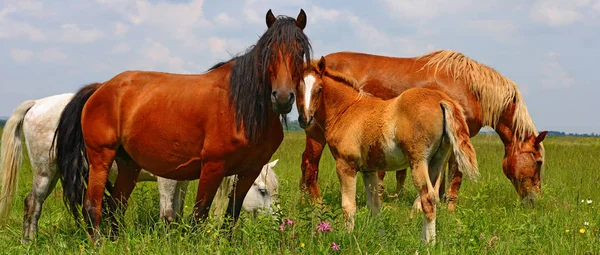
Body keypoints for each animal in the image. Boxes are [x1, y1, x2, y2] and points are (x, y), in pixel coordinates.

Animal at [0, 93, 190, 243]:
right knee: (34, 203)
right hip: (45, 172)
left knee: (31, 201)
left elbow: (178, 211)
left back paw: (28, 241)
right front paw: (167, 242)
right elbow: (168, 214)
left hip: (54, 174)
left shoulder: (182, 181)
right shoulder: (166, 178)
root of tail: (37, 103)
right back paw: (31, 241)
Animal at [52, 8, 312, 243]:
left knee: (116, 205)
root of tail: (100, 88)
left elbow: (232, 214)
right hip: (101, 159)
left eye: (300, 52)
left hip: (128, 165)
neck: (242, 108)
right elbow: (199, 215)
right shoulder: (212, 167)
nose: (282, 98)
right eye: (269, 52)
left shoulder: (250, 170)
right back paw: (98, 243)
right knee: (92, 205)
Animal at [298, 57, 480, 243]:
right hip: (437, 162)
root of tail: (441, 99)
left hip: (418, 162)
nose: (304, 119)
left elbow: (348, 206)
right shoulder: (369, 170)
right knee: (432, 198)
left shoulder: (346, 165)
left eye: (319, 89)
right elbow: (374, 206)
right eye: (298, 87)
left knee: (427, 198)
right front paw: (381, 239)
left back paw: (428, 244)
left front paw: (348, 238)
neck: (347, 110)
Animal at [300, 49, 548, 209]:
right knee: (310, 164)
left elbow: (441, 177)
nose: (535, 200)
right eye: (538, 162)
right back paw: (315, 205)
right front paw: (450, 210)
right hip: (316, 132)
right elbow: (456, 176)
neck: (470, 87)